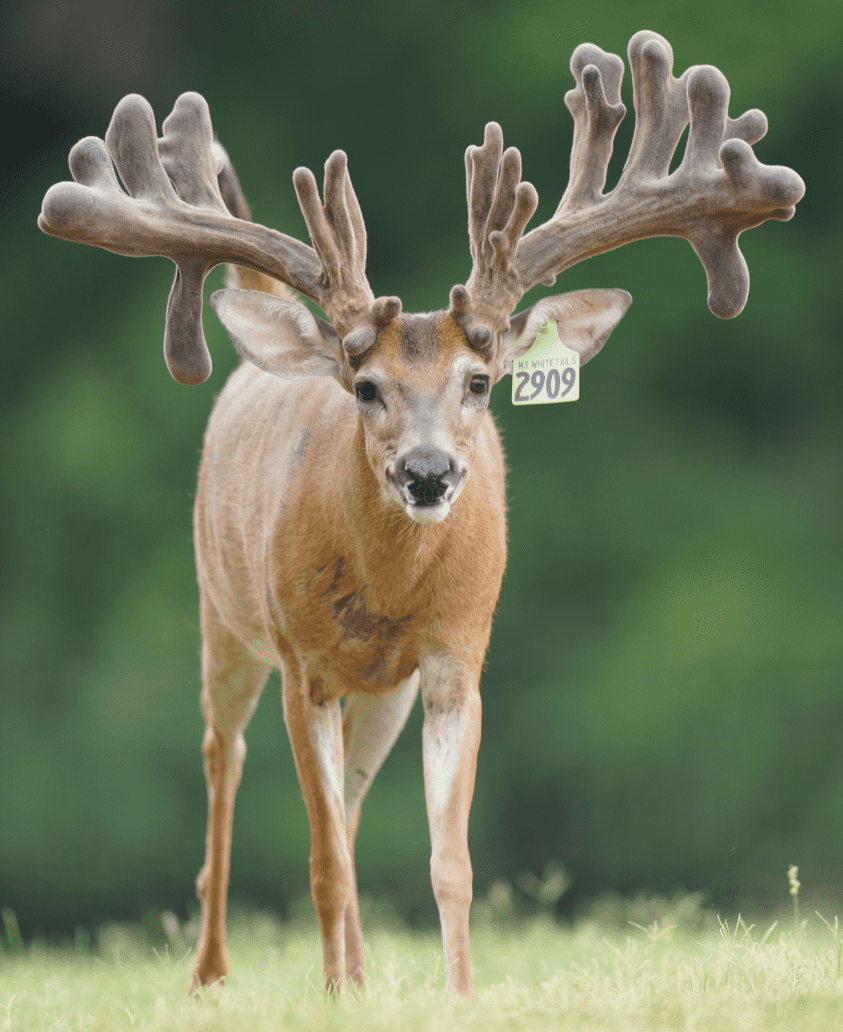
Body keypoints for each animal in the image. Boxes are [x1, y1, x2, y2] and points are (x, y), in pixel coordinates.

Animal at [38, 30, 803, 997]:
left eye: (479, 381)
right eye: (366, 387)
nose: (429, 472)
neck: (389, 591)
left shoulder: (454, 655)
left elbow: (448, 860)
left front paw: (456, 993)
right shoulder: (304, 663)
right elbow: (322, 858)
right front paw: (335, 996)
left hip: (380, 695)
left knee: (353, 803)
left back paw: (357, 974)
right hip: (225, 616)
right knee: (225, 762)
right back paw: (212, 975)